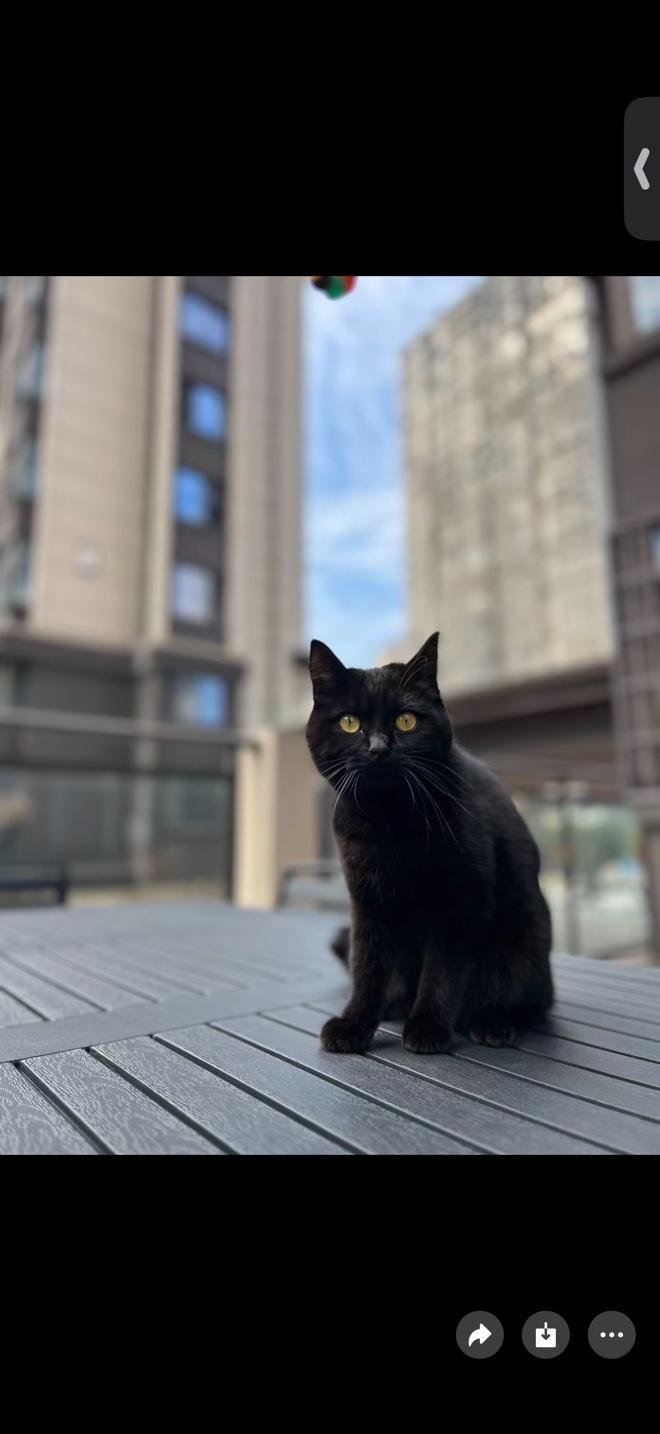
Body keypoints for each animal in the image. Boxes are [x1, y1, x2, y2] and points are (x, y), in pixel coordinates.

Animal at [306, 632, 553, 1055]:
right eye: (349, 723)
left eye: (406, 720)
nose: (378, 748)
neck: (390, 821)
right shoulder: (366, 903)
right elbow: (366, 966)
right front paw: (354, 1023)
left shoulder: (459, 900)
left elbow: (442, 970)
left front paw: (428, 1026)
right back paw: (393, 1006)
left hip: (524, 945)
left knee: (527, 1000)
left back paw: (491, 1021)